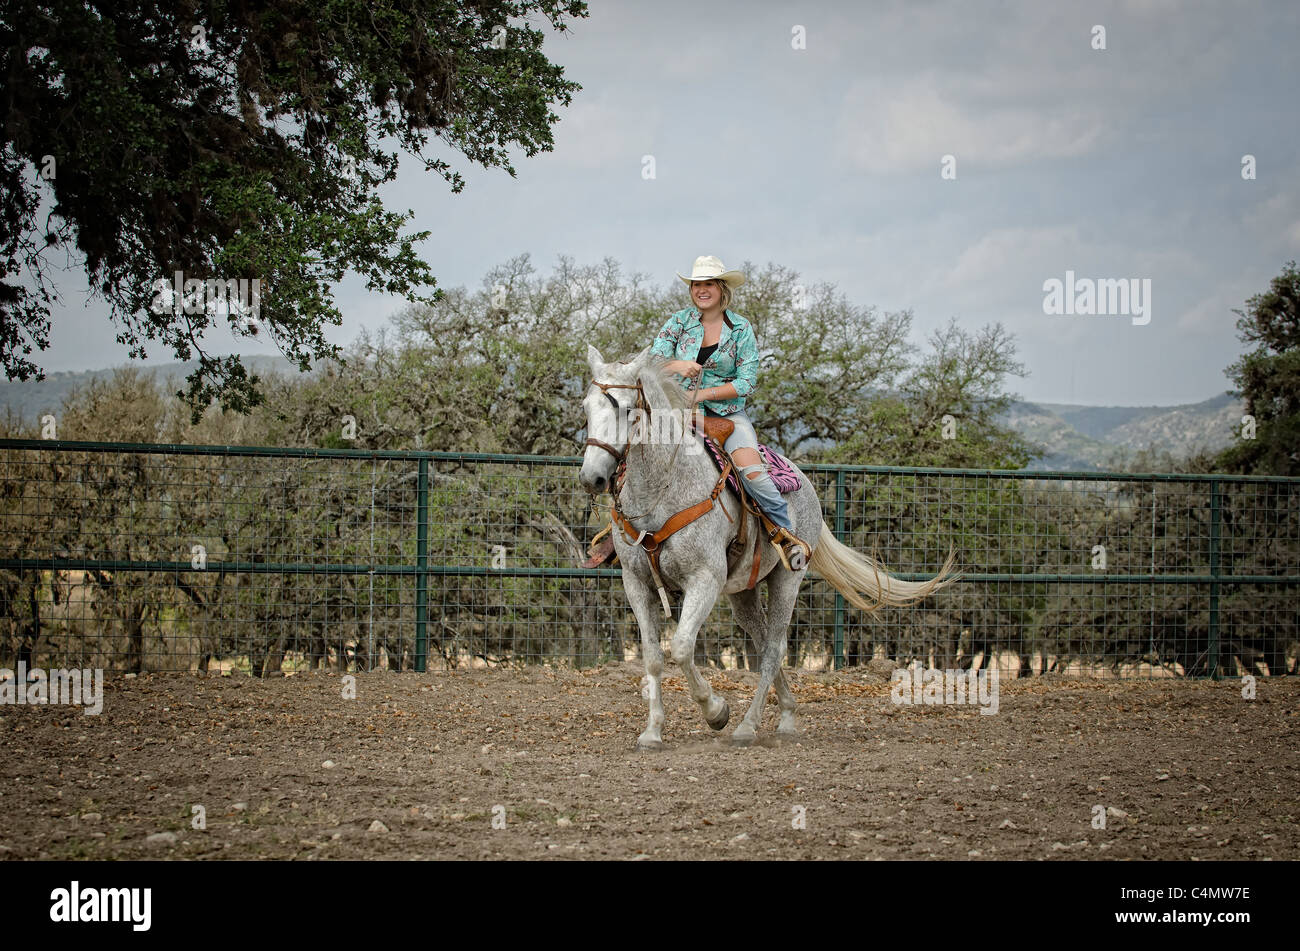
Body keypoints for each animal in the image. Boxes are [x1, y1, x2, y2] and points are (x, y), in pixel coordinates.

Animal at [579, 345, 956, 748]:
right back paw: (787, 713)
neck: (664, 487)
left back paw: (749, 724)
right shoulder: (636, 582)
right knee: (762, 645)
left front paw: (716, 711)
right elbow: (652, 656)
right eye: (586, 407)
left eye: (625, 408)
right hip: (742, 592)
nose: (591, 477)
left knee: (775, 648)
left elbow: (680, 647)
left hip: (787, 581)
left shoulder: (705, 579)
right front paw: (652, 731)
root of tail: (804, 479)